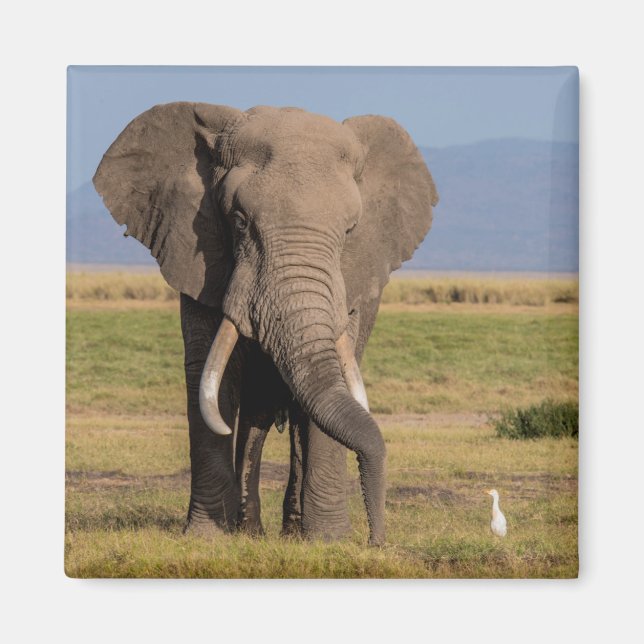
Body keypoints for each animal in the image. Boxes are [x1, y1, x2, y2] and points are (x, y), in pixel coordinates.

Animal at [93, 103, 438, 545]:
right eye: (239, 221)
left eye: (349, 231)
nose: (377, 541)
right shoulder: (199, 257)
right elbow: (210, 377)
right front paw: (208, 538)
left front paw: (329, 541)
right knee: (253, 416)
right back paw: (252, 530)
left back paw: (292, 532)